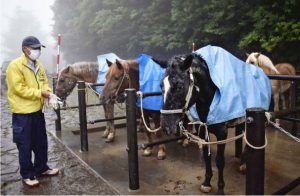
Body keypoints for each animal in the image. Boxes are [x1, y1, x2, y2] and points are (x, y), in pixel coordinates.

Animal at [156, 45, 270, 194]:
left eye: (180, 85)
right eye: (161, 86)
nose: (166, 126)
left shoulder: (222, 134)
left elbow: (219, 161)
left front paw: (221, 188)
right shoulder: (203, 131)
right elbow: (207, 156)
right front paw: (207, 182)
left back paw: (244, 165)